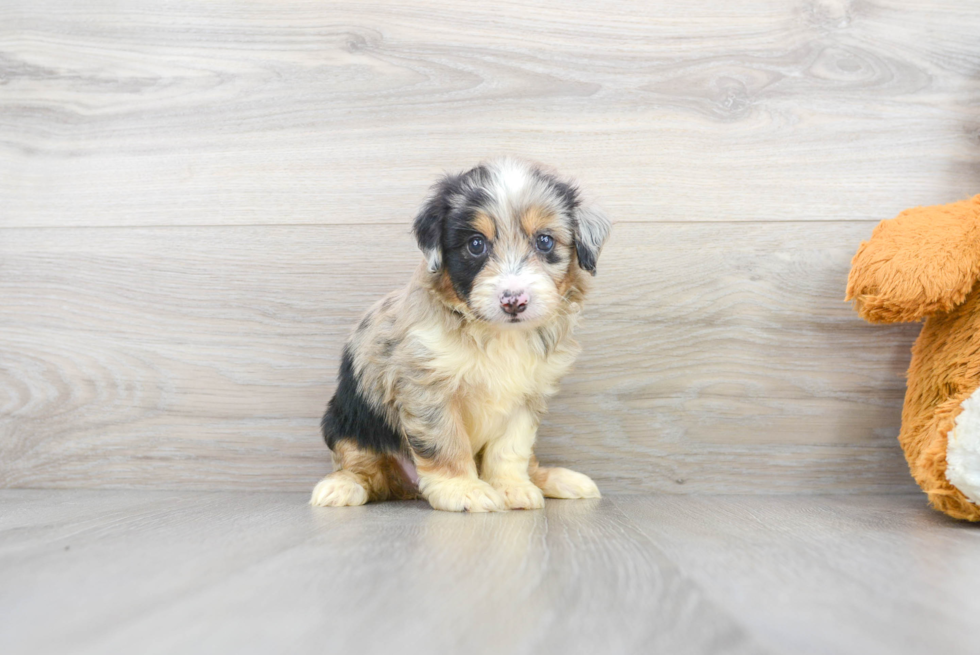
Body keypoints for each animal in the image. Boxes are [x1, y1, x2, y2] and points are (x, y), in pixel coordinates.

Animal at [310, 159, 608, 512]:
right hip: (347, 423)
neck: (497, 333)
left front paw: (512, 487)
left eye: (545, 241)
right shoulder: (426, 386)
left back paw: (557, 479)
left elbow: (512, 448)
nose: (514, 301)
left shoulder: (527, 396)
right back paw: (341, 486)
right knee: (362, 467)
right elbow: (445, 441)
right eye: (475, 244)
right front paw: (463, 489)